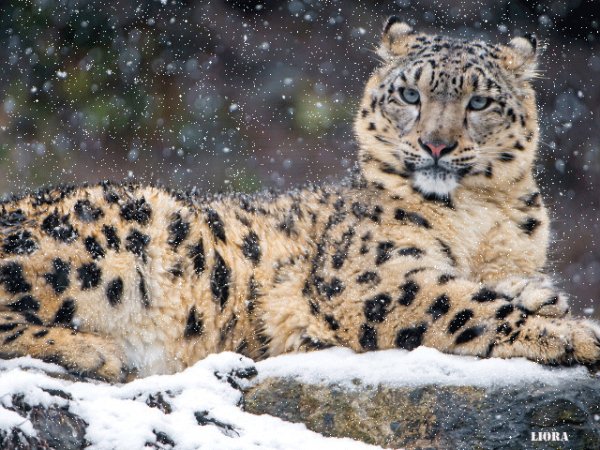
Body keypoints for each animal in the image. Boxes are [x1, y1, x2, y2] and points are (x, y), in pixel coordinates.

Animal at [0, 17, 599, 382]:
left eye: (479, 102)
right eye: (410, 94)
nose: (435, 143)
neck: (480, 216)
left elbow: (493, 284)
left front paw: (543, 295)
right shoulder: (372, 276)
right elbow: (468, 305)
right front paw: (575, 334)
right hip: (116, 233)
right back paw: (97, 351)